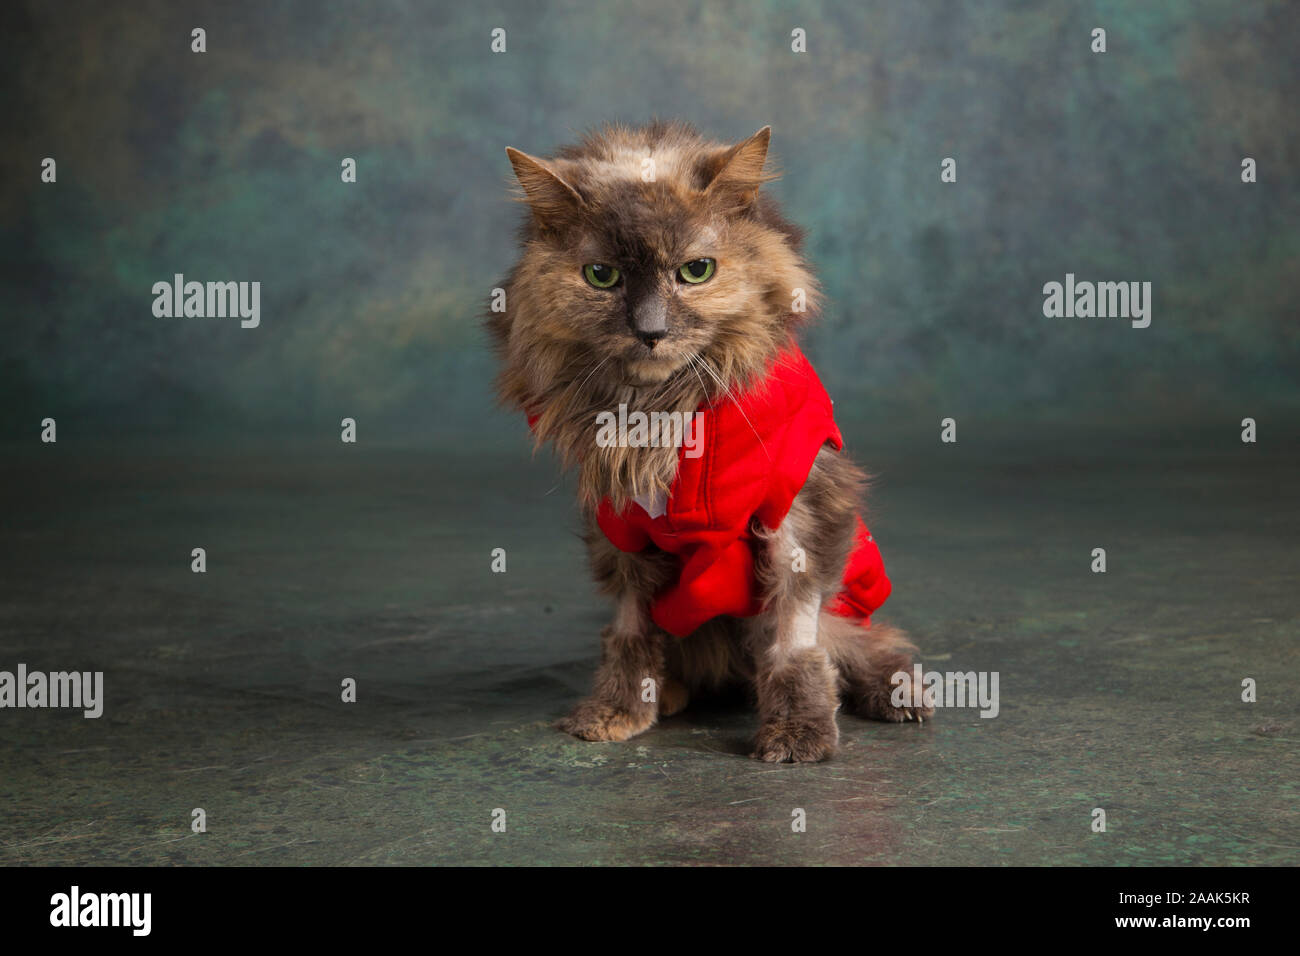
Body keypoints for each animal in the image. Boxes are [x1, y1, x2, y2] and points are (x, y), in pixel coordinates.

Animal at [483, 121, 930, 764]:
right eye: (602, 276)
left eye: (696, 270)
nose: (650, 331)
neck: (659, 411)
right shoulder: (624, 529)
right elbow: (629, 629)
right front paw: (619, 709)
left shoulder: (798, 514)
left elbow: (796, 640)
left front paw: (798, 733)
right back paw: (671, 692)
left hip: (851, 600)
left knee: (868, 643)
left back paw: (901, 694)